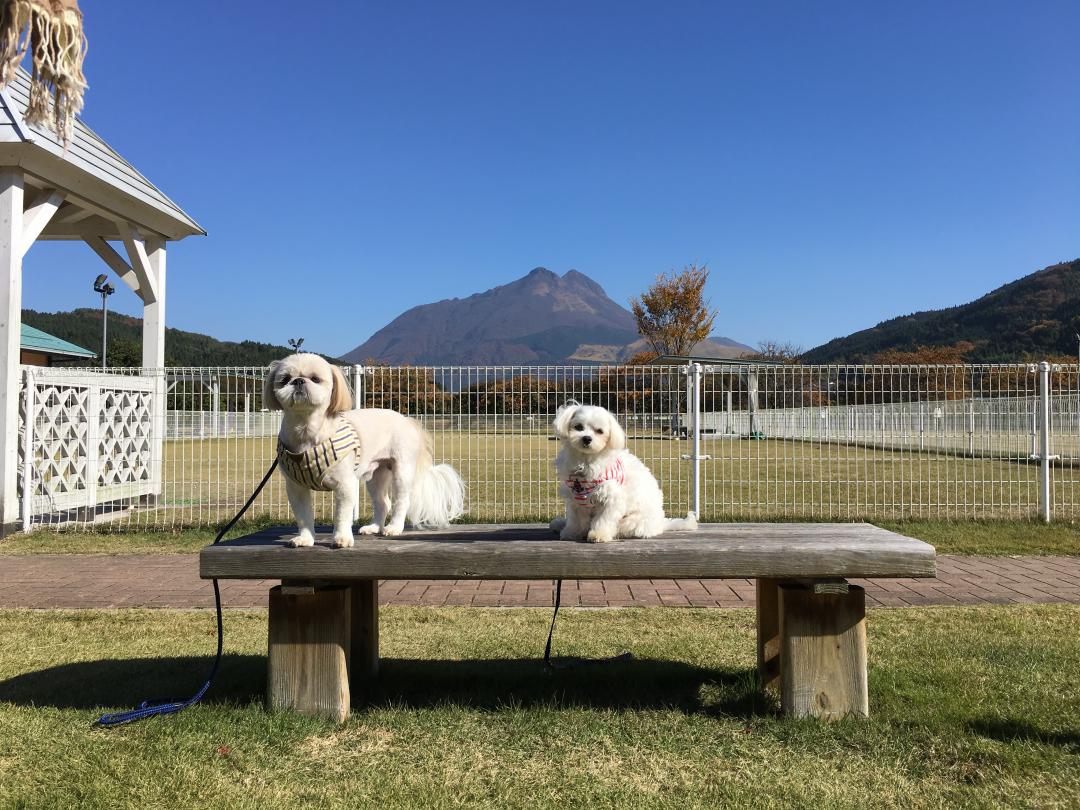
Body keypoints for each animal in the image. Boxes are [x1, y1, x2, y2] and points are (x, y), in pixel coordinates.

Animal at [265, 354, 464, 548]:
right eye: (285, 379)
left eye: (315, 379)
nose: (298, 381)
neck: (306, 430)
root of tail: (408, 421)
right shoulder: (296, 487)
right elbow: (303, 517)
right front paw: (305, 539)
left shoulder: (345, 484)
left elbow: (342, 516)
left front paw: (342, 539)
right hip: (377, 476)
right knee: (383, 503)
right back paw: (374, 527)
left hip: (402, 470)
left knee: (401, 501)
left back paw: (393, 528)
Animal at [548, 401, 699, 542]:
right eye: (578, 427)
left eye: (599, 431)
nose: (586, 438)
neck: (586, 462)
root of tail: (661, 523)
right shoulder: (575, 499)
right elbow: (576, 520)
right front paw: (571, 533)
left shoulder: (611, 498)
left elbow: (603, 520)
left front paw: (598, 534)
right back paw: (559, 524)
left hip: (632, 522)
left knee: (621, 527)